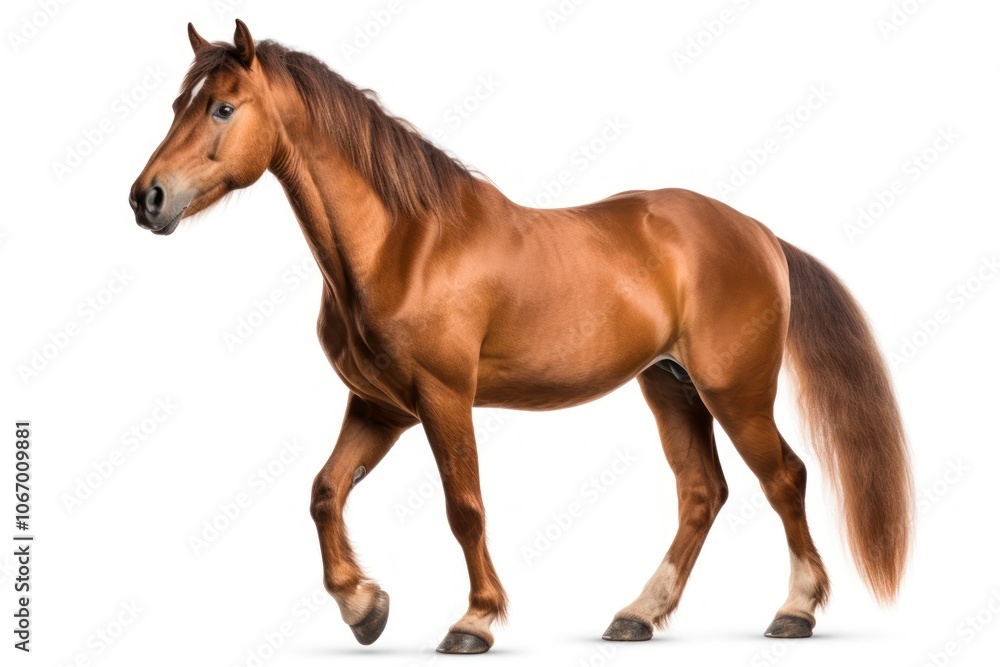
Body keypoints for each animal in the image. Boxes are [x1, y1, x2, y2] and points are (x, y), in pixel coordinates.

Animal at [130, 20, 913, 654]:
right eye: (177, 105)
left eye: (223, 107)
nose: (147, 198)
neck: (402, 243)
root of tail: (758, 233)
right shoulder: (381, 407)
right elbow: (325, 491)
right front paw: (364, 607)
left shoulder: (443, 398)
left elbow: (464, 507)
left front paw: (472, 622)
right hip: (669, 385)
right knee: (702, 492)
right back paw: (637, 614)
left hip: (735, 391)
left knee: (784, 478)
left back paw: (795, 611)